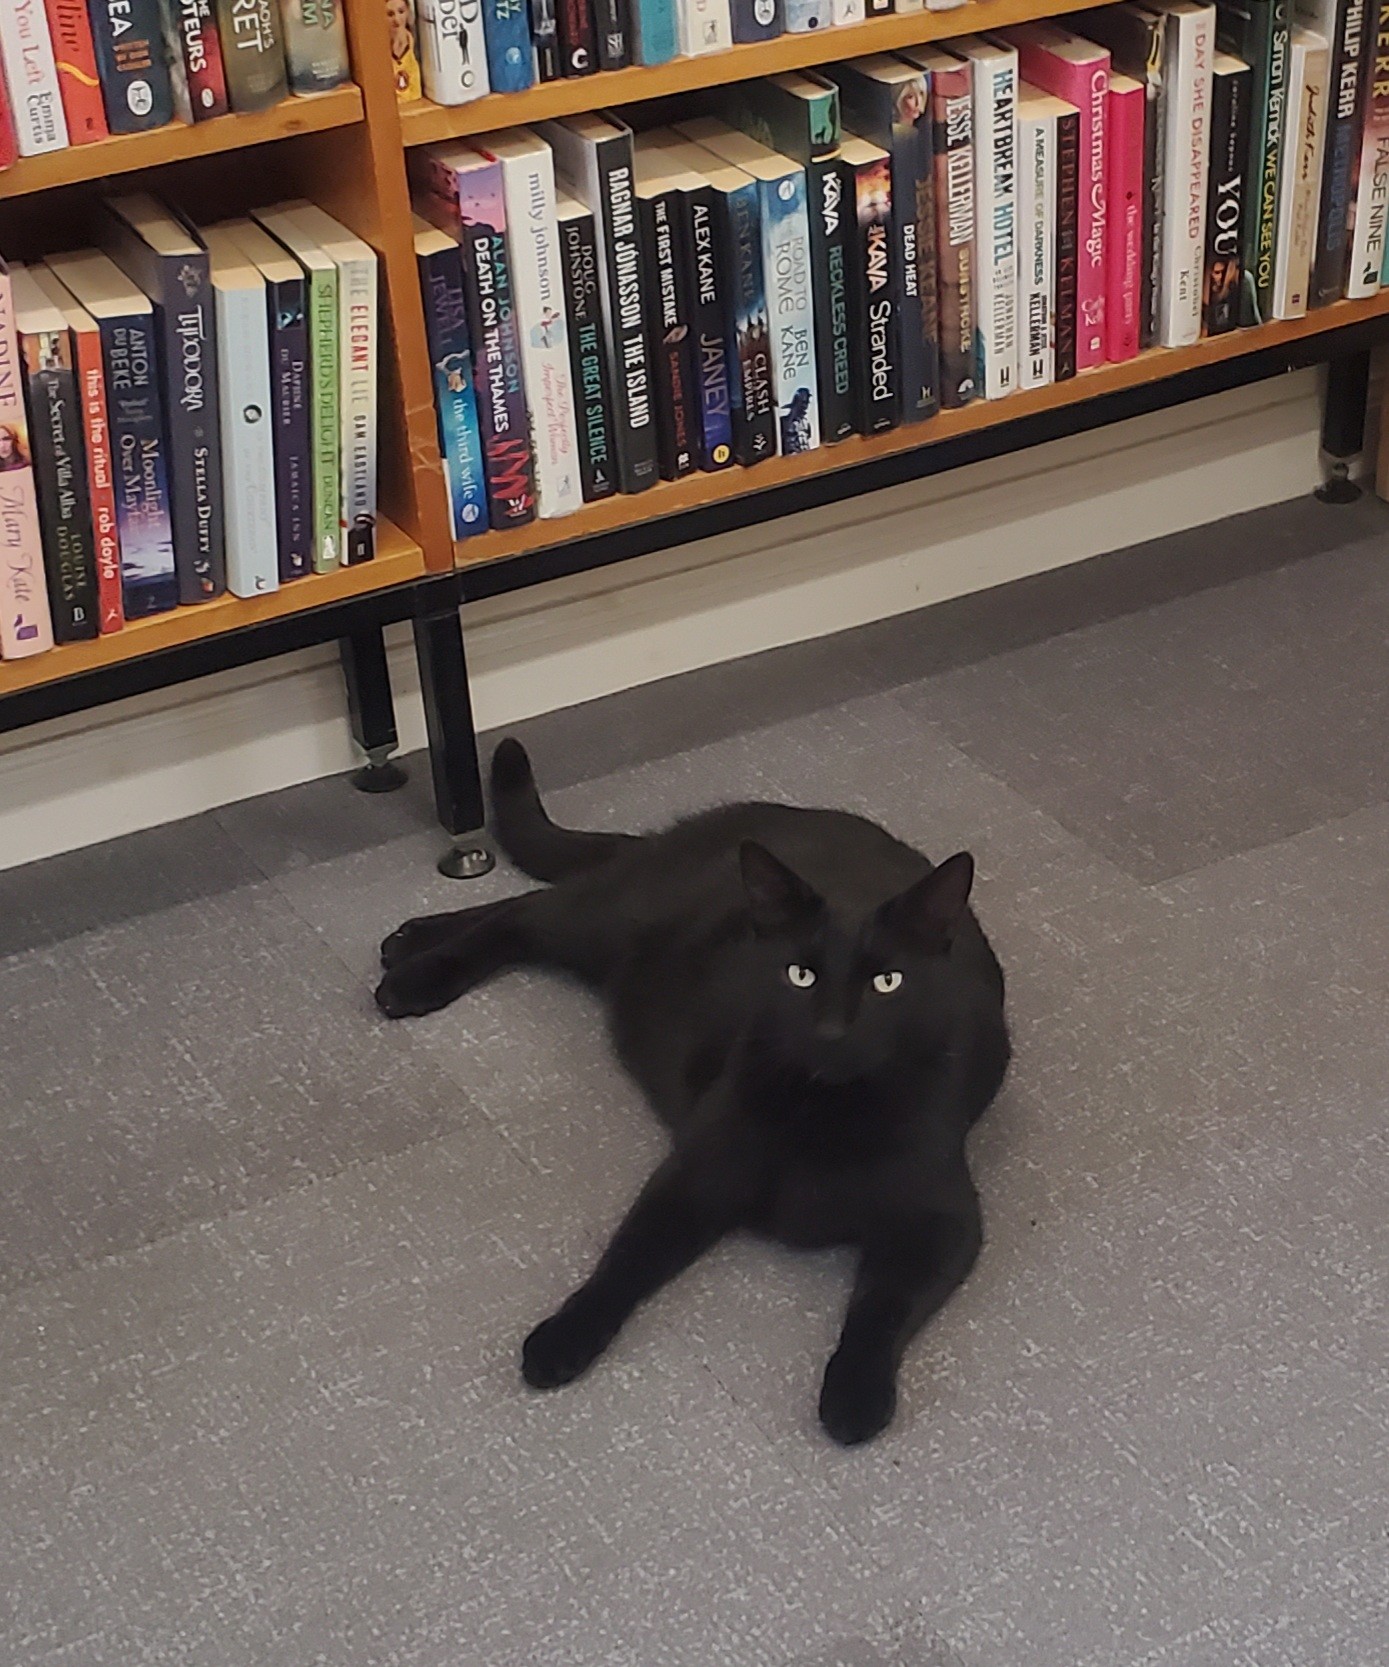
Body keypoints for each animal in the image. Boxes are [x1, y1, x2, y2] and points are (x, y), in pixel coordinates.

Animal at [380, 736, 1007, 1440]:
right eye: (800, 974)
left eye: (887, 983)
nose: (831, 1030)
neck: (826, 1112)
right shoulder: (694, 1178)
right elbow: (625, 1261)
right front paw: (565, 1336)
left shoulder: (941, 1223)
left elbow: (883, 1308)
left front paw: (855, 1394)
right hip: (609, 920)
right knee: (527, 913)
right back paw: (415, 971)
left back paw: (408, 941)